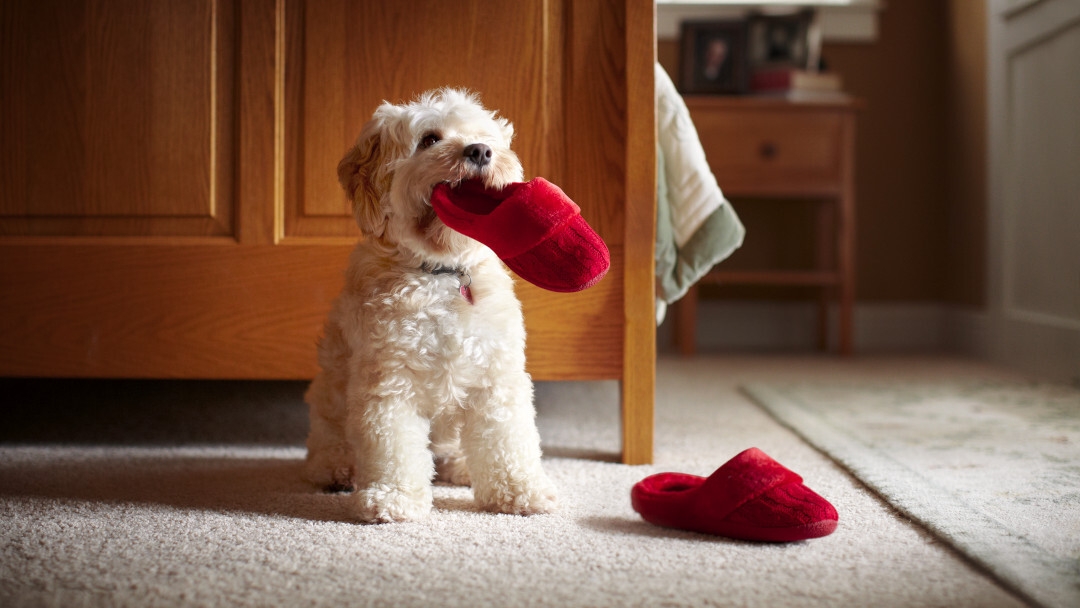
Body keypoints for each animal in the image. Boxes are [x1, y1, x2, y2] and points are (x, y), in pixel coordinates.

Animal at [304, 89, 557, 522]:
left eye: (483, 136)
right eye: (429, 139)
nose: (480, 151)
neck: (441, 273)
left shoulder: (495, 378)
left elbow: (508, 441)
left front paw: (520, 491)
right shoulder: (389, 383)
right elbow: (393, 447)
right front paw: (394, 498)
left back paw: (461, 467)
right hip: (330, 397)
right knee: (328, 438)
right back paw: (336, 469)